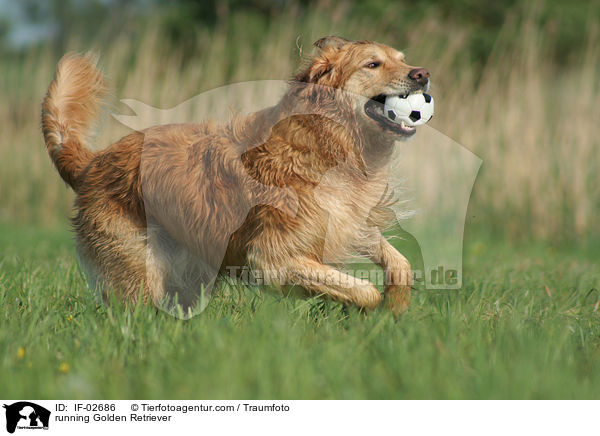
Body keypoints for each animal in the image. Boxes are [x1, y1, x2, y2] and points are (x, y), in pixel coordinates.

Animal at [41, 34, 432, 314]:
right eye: (372, 64)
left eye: (402, 59)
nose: (423, 74)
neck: (328, 145)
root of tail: (94, 161)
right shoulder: (272, 257)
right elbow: (364, 291)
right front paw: (368, 311)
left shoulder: (347, 221)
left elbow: (400, 263)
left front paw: (397, 309)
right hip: (138, 265)